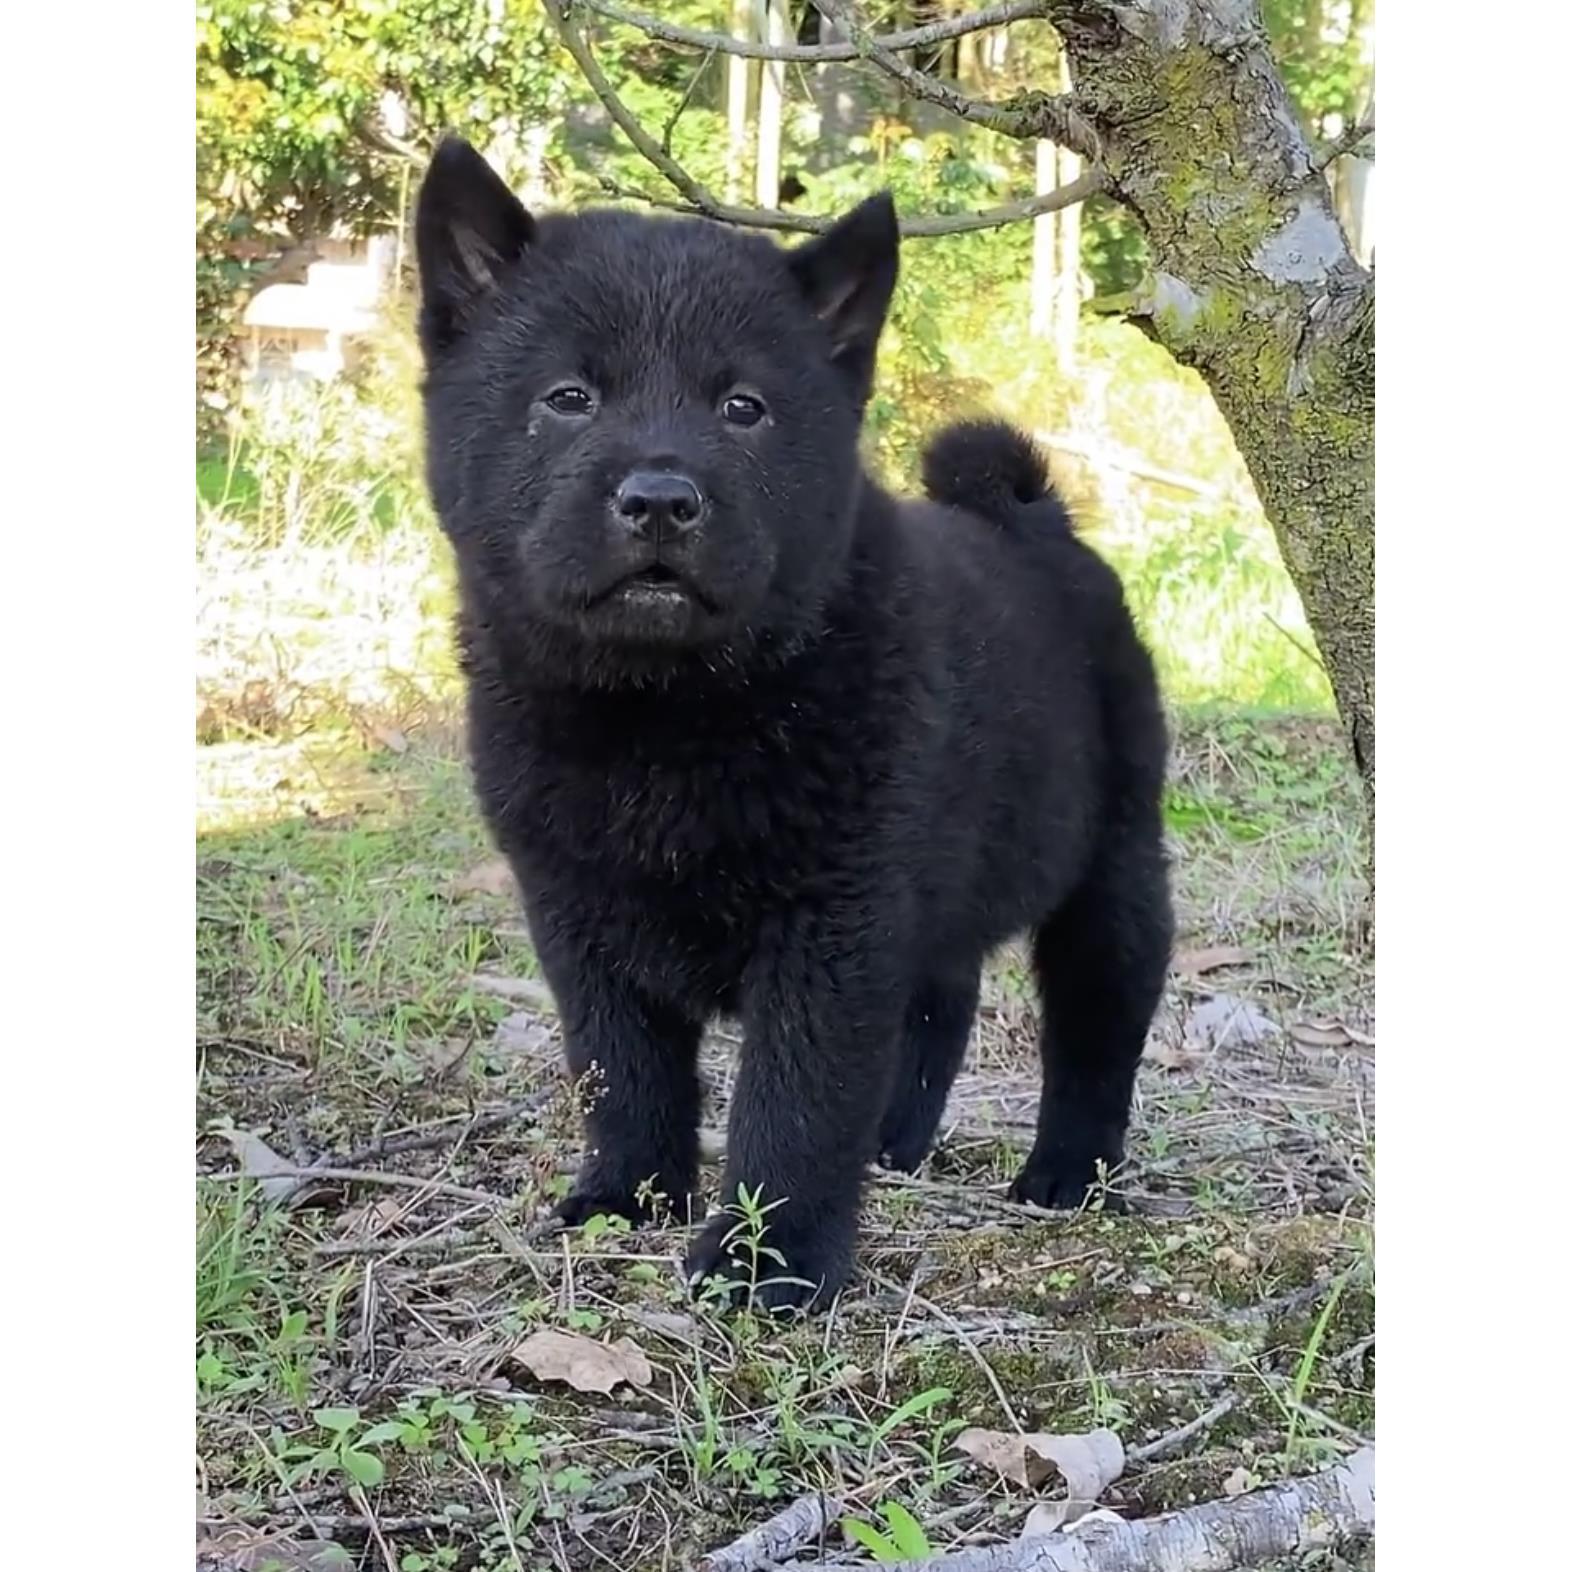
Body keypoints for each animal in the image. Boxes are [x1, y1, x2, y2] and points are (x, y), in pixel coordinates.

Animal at [411, 141, 1175, 1307]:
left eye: (743, 407)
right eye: (568, 397)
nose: (661, 499)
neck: (664, 717)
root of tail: (1038, 524)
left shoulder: (830, 926)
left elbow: (794, 1103)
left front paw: (764, 1263)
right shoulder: (577, 912)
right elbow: (621, 1068)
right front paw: (626, 1197)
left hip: (1111, 868)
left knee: (1098, 1026)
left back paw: (1066, 1175)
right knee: (940, 1001)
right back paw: (897, 1145)